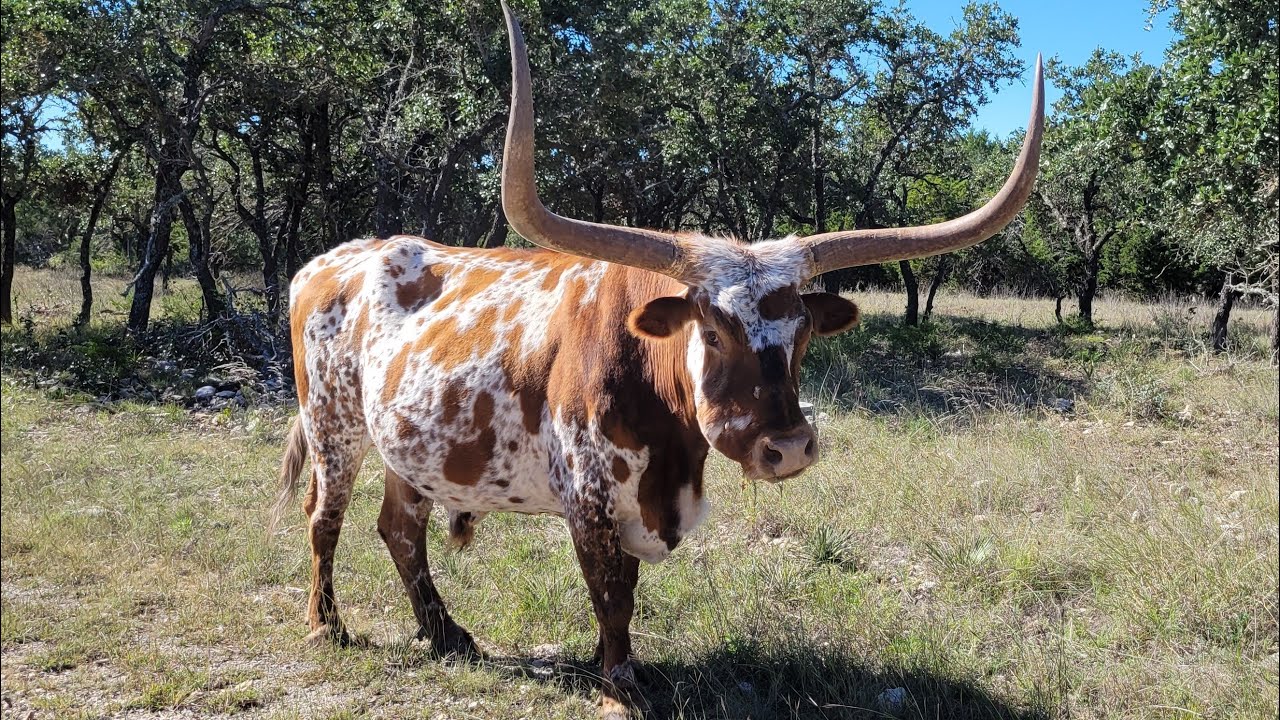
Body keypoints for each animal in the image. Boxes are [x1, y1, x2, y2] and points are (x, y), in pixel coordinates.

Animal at [272, 3, 1044, 717]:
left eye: (802, 332)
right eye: (715, 329)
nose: (789, 448)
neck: (673, 441)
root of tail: (329, 261)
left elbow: (625, 593)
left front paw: (615, 670)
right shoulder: (587, 494)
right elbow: (612, 593)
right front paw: (618, 687)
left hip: (412, 445)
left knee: (401, 529)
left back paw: (445, 634)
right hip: (334, 426)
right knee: (324, 518)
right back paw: (325, 626)